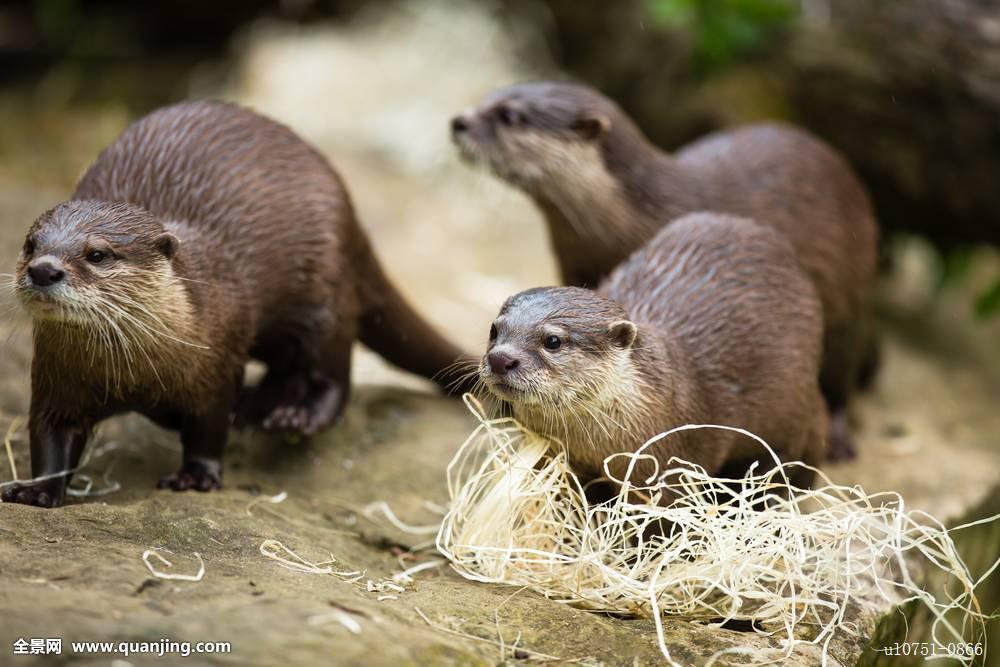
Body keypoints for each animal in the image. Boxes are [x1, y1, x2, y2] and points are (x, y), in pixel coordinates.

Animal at [1, 100, 470, 506]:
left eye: (97, 254)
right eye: (30, 243)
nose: (43, 270)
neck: (134, 374)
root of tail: (351, 213)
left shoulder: (217, 362)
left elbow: (208, 427)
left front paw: (195, 475)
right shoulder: (56, 377)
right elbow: (50, 435)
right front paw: (36, 490)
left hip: (325, 292)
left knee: (333, 373)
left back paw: (296, 417)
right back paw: (258, 406)